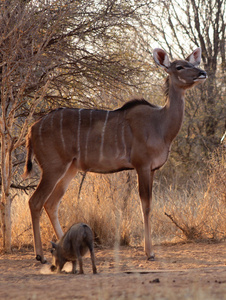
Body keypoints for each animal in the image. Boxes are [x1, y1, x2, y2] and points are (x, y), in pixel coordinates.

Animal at [22, 47, 207, 262]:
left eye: (193, 64)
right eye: (179, 67)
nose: (202, 73)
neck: (160, 124)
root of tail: (32, 130)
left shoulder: (152, 169)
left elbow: (148, 205)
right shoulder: (142, 166)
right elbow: (146, 206)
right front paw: (150, 253)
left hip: (70, 169)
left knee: (51, 203)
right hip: (53, 168)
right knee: (36, 201)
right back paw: (40, 256)